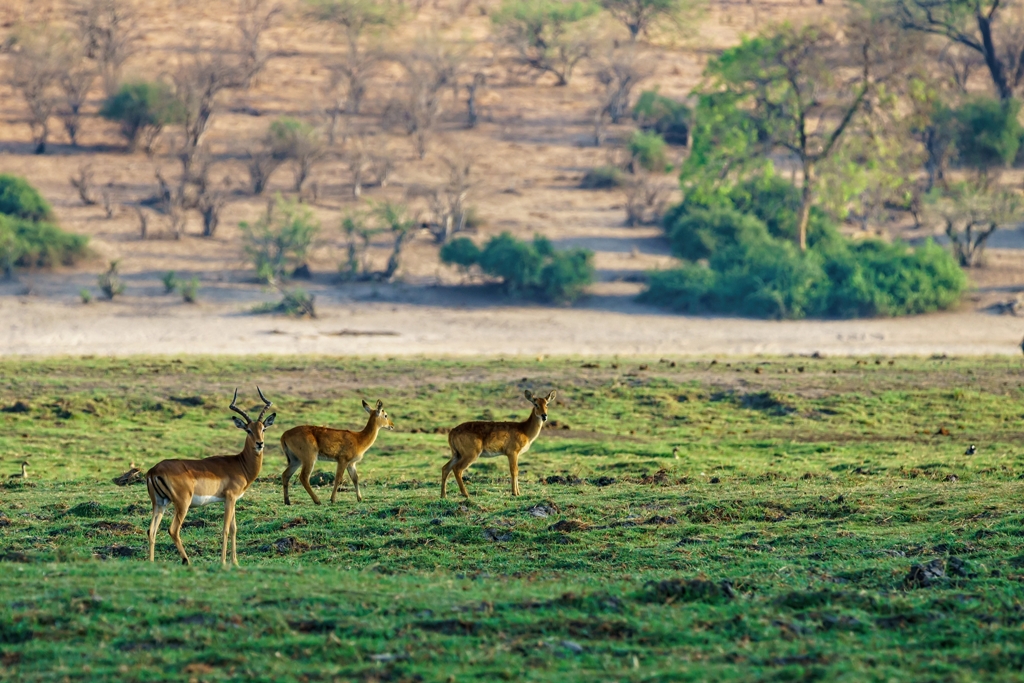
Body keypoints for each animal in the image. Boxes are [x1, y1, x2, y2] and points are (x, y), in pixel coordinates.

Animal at [144, 387, 278, 569]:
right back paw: (187, 561)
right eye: (248, 430)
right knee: (173, 530)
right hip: (182, 504)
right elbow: (226, 529)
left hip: (159, 503)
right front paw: (223, 562)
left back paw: (151, 563)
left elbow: (234, 529)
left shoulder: (232, 500)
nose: (259, 444)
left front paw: (235, 562)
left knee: (152, 530)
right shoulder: (230, 498)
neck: (239, 463)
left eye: (263, 429)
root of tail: (153, 470)